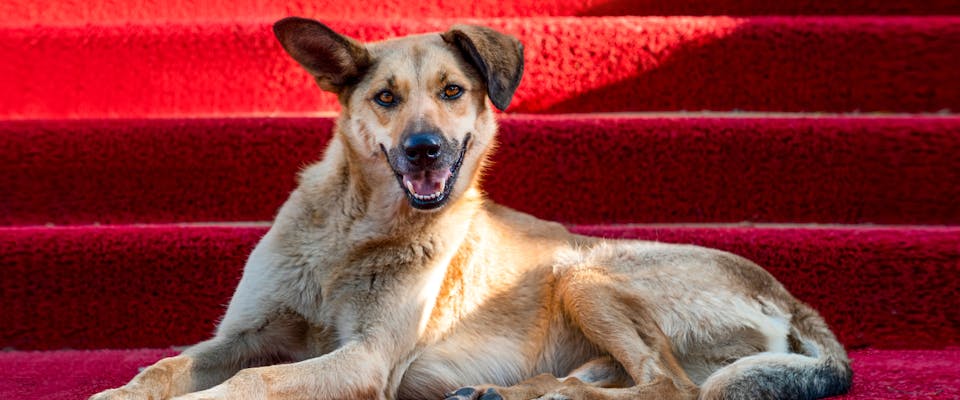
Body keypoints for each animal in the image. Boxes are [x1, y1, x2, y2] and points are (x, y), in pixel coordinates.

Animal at [92, 17, 856, 398]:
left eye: (453, 90)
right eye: (386, 98)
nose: (424, 149)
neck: (352, 232)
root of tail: (793, 300)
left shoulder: (365, 359)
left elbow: (254, 382)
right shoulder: (243, 334)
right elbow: (163, 368)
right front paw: (118, 396)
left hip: (584, 272)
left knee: (673, 389)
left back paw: (557, 396)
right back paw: (514, 394)